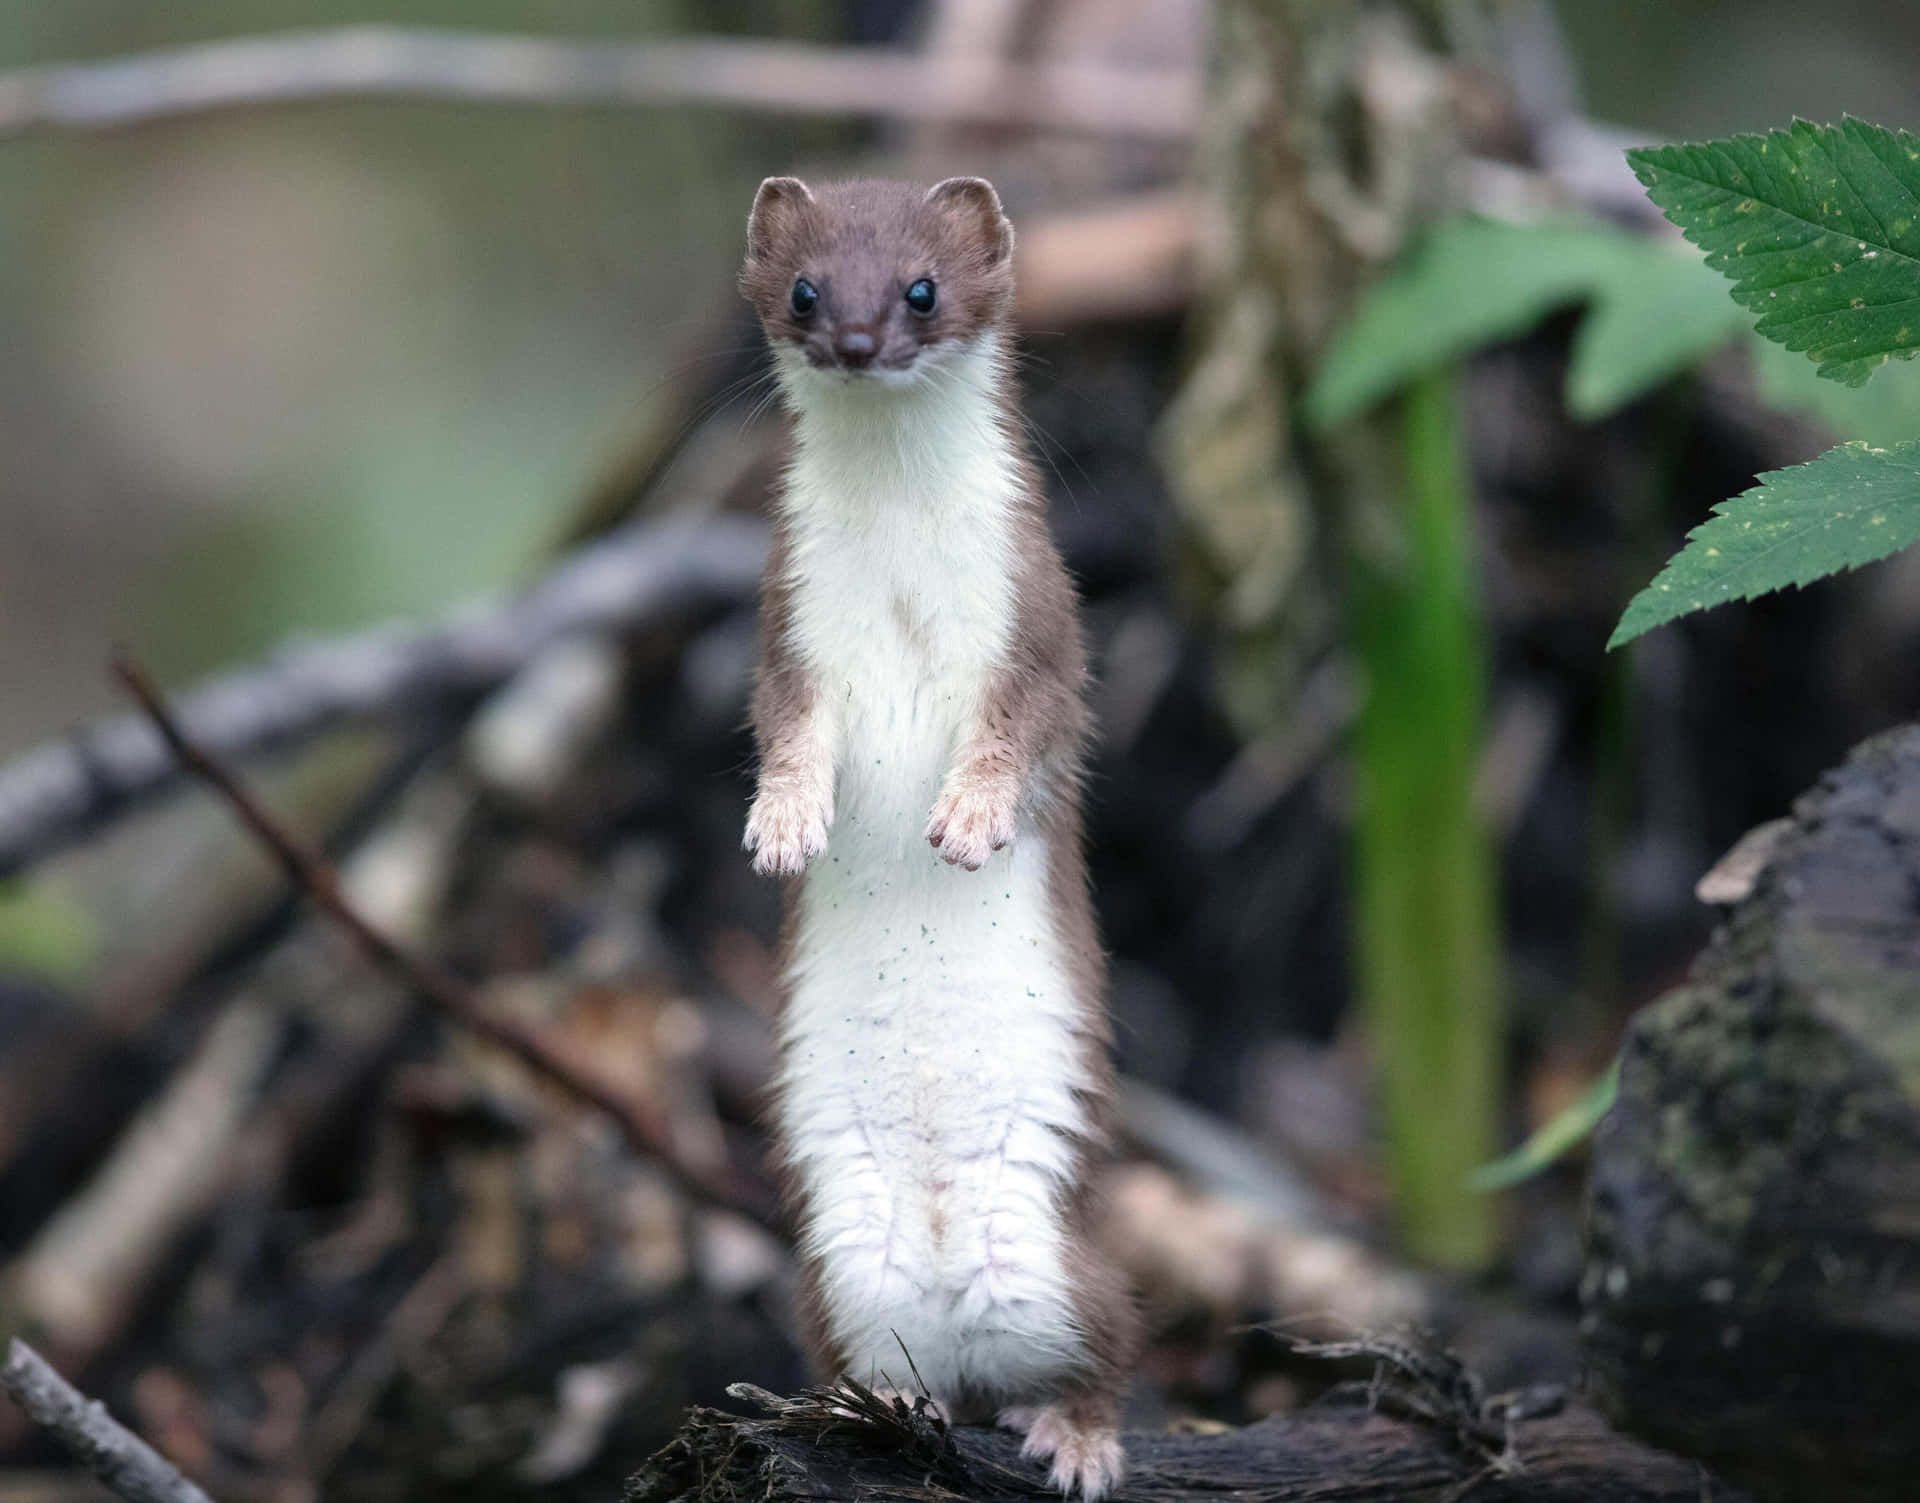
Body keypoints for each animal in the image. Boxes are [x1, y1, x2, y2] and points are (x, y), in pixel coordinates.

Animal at [741, 179, 1136, 1503]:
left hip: (1061, 1253)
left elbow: (1028, 729)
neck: (903, 560)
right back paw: (888, 1401)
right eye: (807, 289)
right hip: (838, 1266)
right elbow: (788, 730)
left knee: (1113, 1343)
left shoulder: (1042, 615)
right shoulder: (787, 624)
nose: (860, 340)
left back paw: (1074, 1438)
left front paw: (969, 818)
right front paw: (785, 823)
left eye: (921, 287)